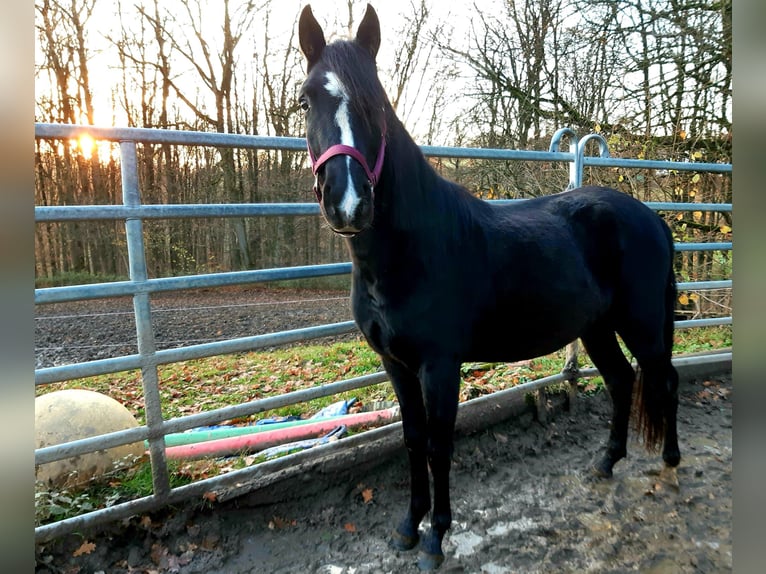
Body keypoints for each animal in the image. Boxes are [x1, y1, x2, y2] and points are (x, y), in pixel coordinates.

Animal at [297, 4, 680, 570]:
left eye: (376, 102)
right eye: (307, 98)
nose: (347, 202)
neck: (411, 251)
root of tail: (652, 218)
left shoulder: (440, 366)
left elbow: (438, 445)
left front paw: (436, 539)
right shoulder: (396, 365)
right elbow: (411, 440)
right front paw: (407, 527)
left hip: (645, 326)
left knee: (663, 381)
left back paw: (672, 462)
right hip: (596, 329)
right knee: (620, 380)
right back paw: (606, 463)